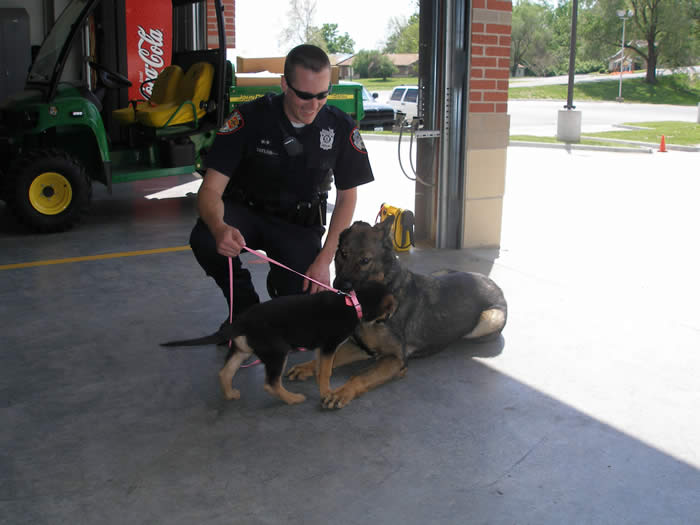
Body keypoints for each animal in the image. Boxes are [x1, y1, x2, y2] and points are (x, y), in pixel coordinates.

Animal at [162, 280, 397, 405]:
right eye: (389, 308)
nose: (393, 314)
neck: (353, 302)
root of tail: (240, 321)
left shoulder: (322, 348)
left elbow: (320, 369)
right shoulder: (329, 345)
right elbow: (326, 372)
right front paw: (327, 393)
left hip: (242, 350)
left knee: (225, 372)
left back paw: (230, 394)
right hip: (277, 352)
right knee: (270, 383)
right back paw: (292, 398)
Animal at [286, 217, 507, 409]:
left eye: (365, 260)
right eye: (342, 253)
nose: (340, 286)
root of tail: (493, 282)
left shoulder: (394, 358)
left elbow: (359, 376)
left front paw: (341, 392)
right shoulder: (360, 347)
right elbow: (327, 360)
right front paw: (307, 366)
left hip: (489, 319)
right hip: (441, 272)